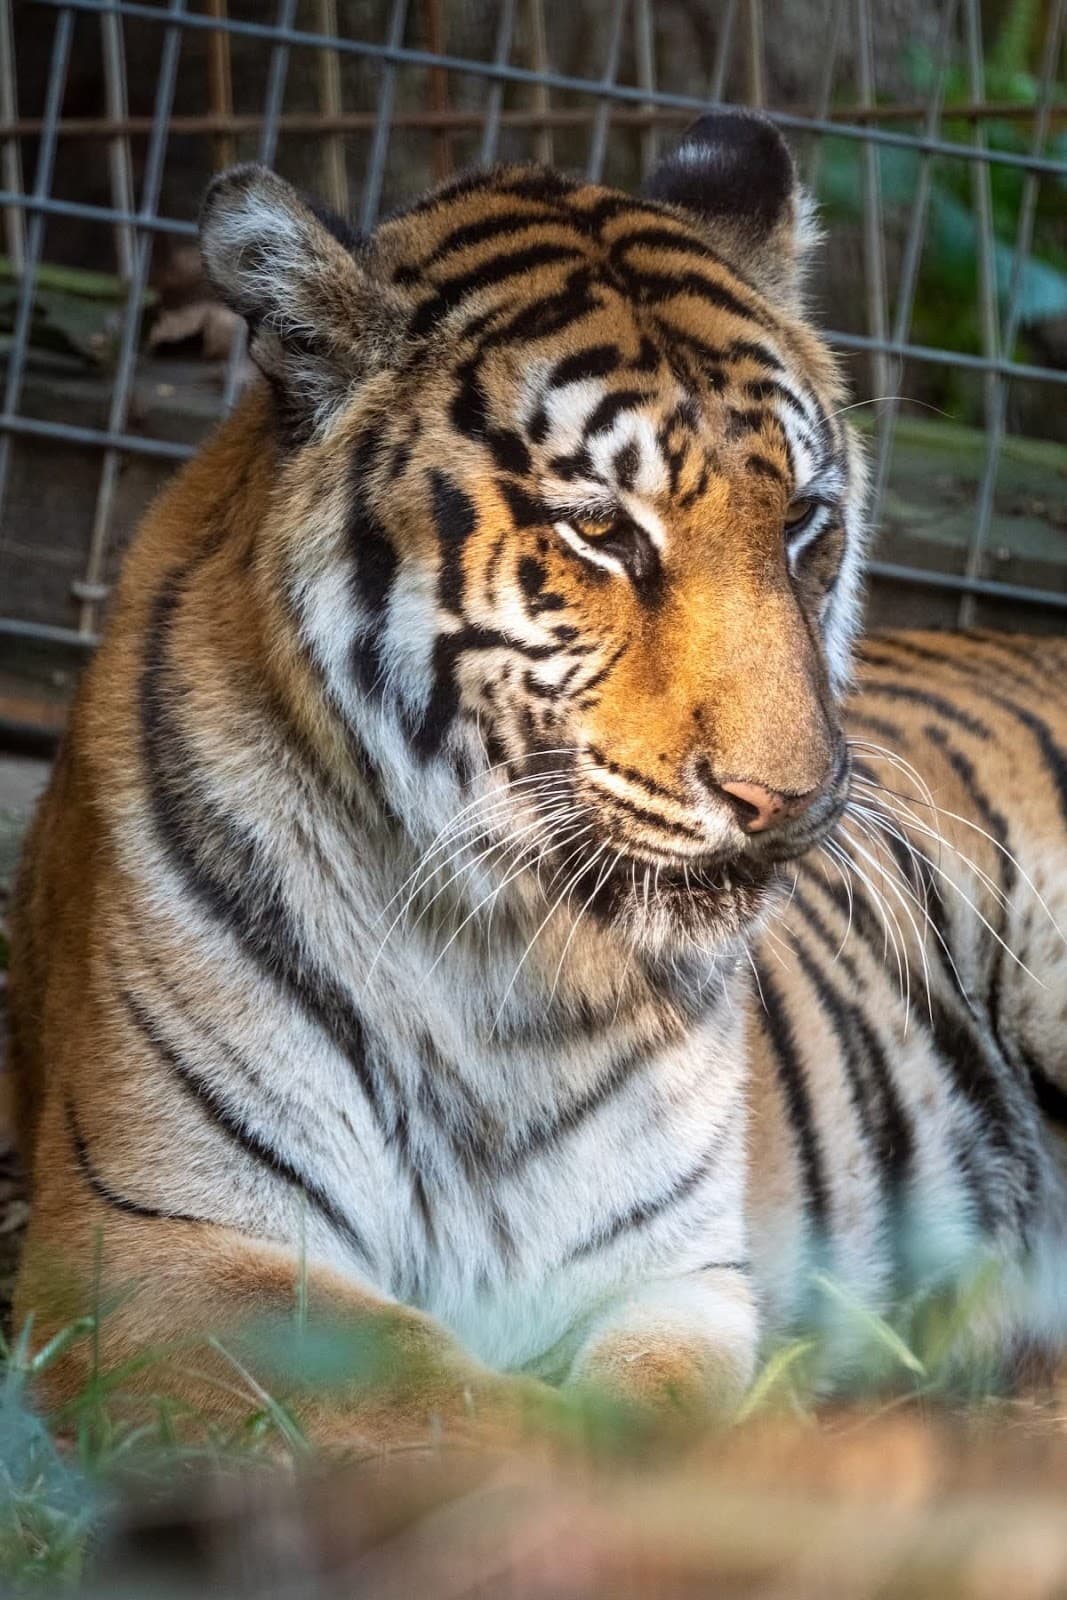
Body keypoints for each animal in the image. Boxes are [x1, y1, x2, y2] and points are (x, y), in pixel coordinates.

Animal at [8, 108, 1067, 1453]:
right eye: (601, 529)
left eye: (801, 521)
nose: (785, 802)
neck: (499, 961)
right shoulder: (151, 1250)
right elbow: (463, 1409)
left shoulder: (673, 1279)